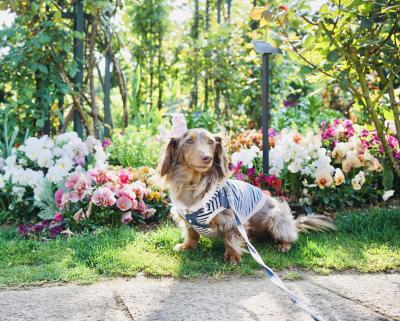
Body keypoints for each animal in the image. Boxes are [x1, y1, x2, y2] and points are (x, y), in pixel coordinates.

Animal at [159, 127, 334, 262]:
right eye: (189, 141)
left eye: (211, 142)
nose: (207, 158)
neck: (194, 185)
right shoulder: (186, 217)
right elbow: (191, 233)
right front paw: (187, 246)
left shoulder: (232, 219)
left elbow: (230, 239)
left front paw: (232, 256)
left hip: (277, 217)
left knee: (289, 237)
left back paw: (283, 245)